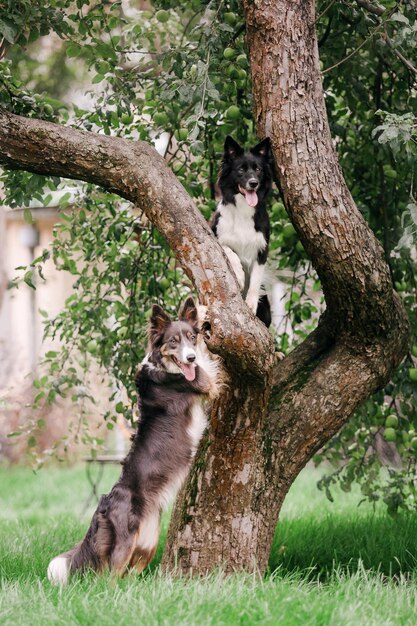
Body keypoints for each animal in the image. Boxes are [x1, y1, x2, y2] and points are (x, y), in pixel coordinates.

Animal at [46, 298, 219, 584]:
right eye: (173, 342)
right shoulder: (205, 382)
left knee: (126, 575)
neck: (165, 366)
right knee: (109, 577)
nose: (190, 357)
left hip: (147, 544)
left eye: (191, 338)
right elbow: (212, 364)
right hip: (124, 543)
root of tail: (103, 505)